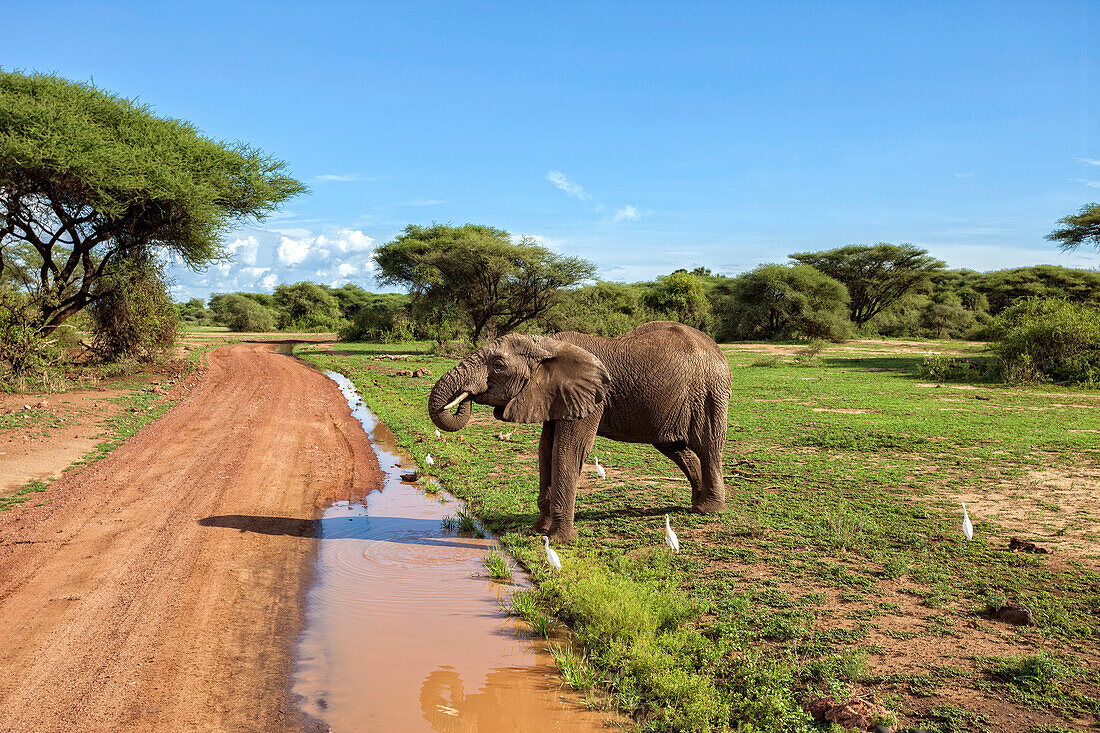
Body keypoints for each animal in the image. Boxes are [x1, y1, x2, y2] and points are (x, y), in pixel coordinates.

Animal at [426, 323, 730, 539]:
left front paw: (559, 539)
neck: (549, 344)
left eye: (498, 366)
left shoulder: (592, 397)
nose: (465, 398)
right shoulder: (554, 395)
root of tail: (717, 350)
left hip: (709, 393)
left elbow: (568, 448)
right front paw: (539, 529)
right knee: (674, 447)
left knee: (708, 445)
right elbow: (545, 449)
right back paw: (696, 504)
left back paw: (709, 510)